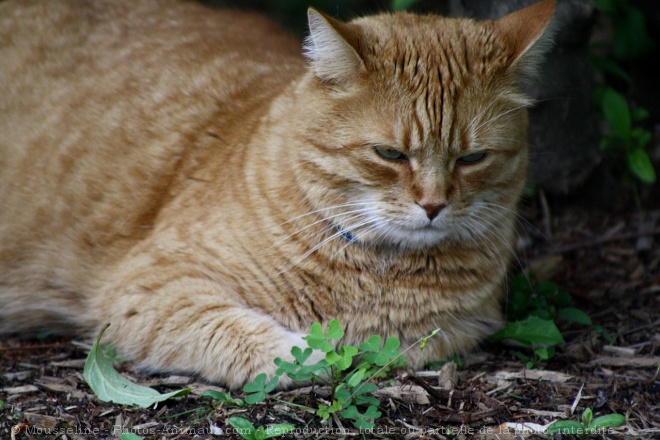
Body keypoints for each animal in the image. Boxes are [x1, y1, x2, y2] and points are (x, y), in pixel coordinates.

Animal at [0, 0, 556, 388]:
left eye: (473, 158)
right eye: (389, 154)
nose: (434, 204)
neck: (377, 273)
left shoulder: (452, 329)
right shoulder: (147, 287)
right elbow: (241, 334)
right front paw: (305, 354)